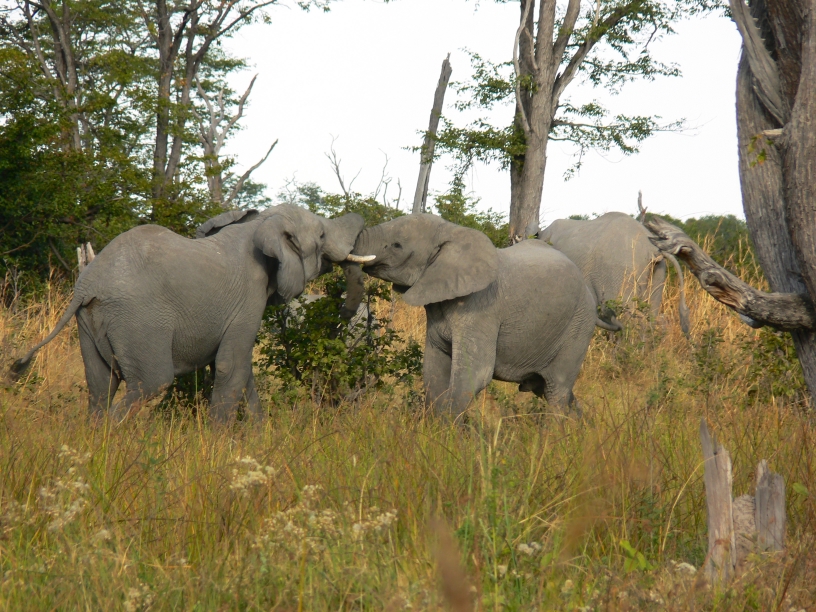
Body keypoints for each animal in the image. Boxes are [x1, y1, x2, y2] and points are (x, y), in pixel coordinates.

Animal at [11, 205, 372, 423]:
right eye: (322, 236)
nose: (345, 313)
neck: (261, 223)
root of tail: (87, 285)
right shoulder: (249, 297)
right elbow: (231, 366)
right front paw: (218, 447)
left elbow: (242, 371)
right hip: (138, 321)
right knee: (150, 382)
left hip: (89, 323)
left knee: (100, 385)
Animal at [349, 213, 619, 418]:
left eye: (397, 246)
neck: (453, 233)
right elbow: (433, 371)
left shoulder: (481, 309)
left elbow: (475, 373)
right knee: (552, 391)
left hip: (577, 327)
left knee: (557, 392)